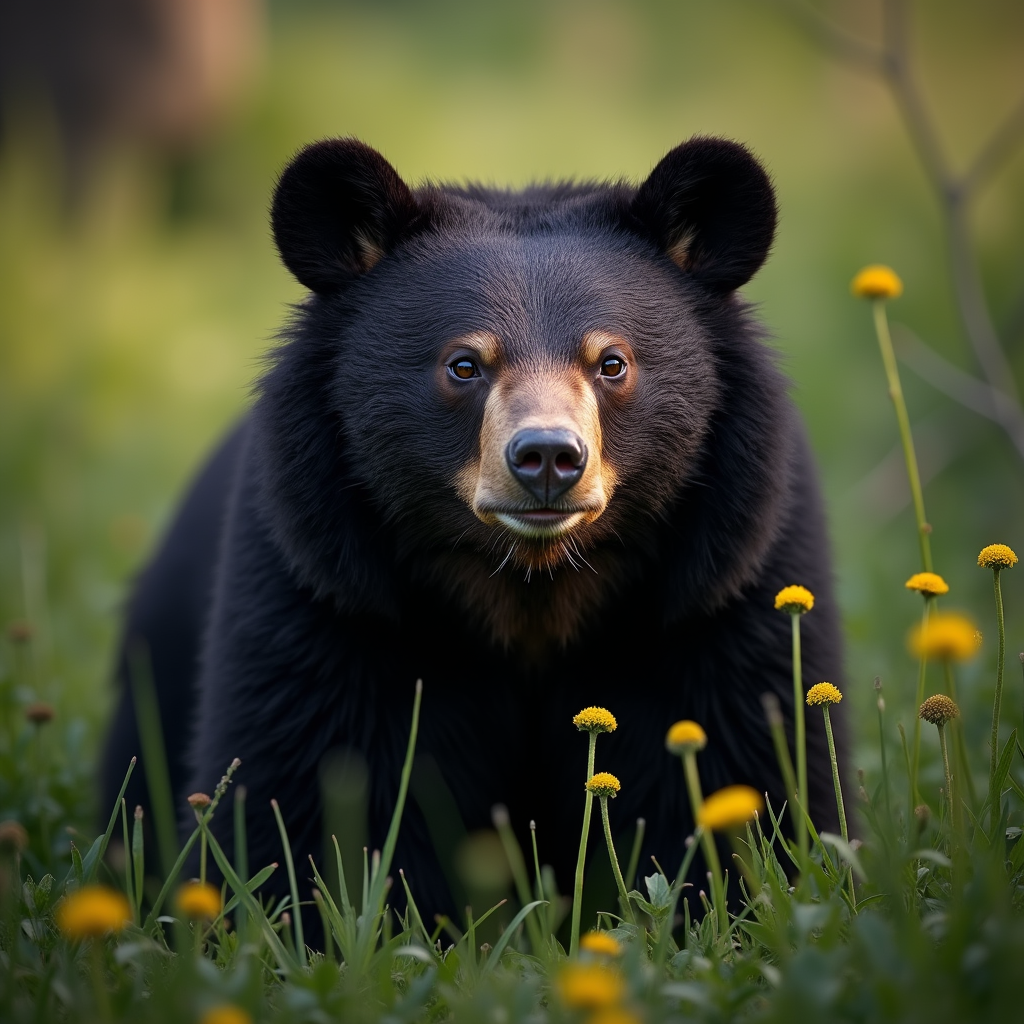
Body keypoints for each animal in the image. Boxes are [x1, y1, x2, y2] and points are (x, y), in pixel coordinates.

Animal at [102, 135, 845, 936]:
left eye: (612, 362)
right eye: (464, 364)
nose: (547, 459)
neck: (529, 590)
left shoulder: (721, 591)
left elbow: (747, 760)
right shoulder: (326, 592)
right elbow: (293, 784)